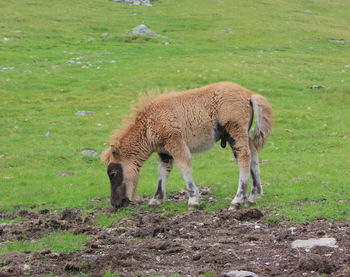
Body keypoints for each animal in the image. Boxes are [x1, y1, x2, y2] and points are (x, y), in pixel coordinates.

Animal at [101, 82, 274, 209]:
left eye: (113, 173)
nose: (115, 204)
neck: (150, 122)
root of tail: (249, 94)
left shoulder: (175, 142)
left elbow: (184, 167)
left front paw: (193, 200)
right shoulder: (164, 152)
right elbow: (163, 171)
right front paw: (156, 199)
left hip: (235, 133)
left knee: (244, 158)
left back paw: (237, 200)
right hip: (243, 135)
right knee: (253, 155)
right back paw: (253, 196)